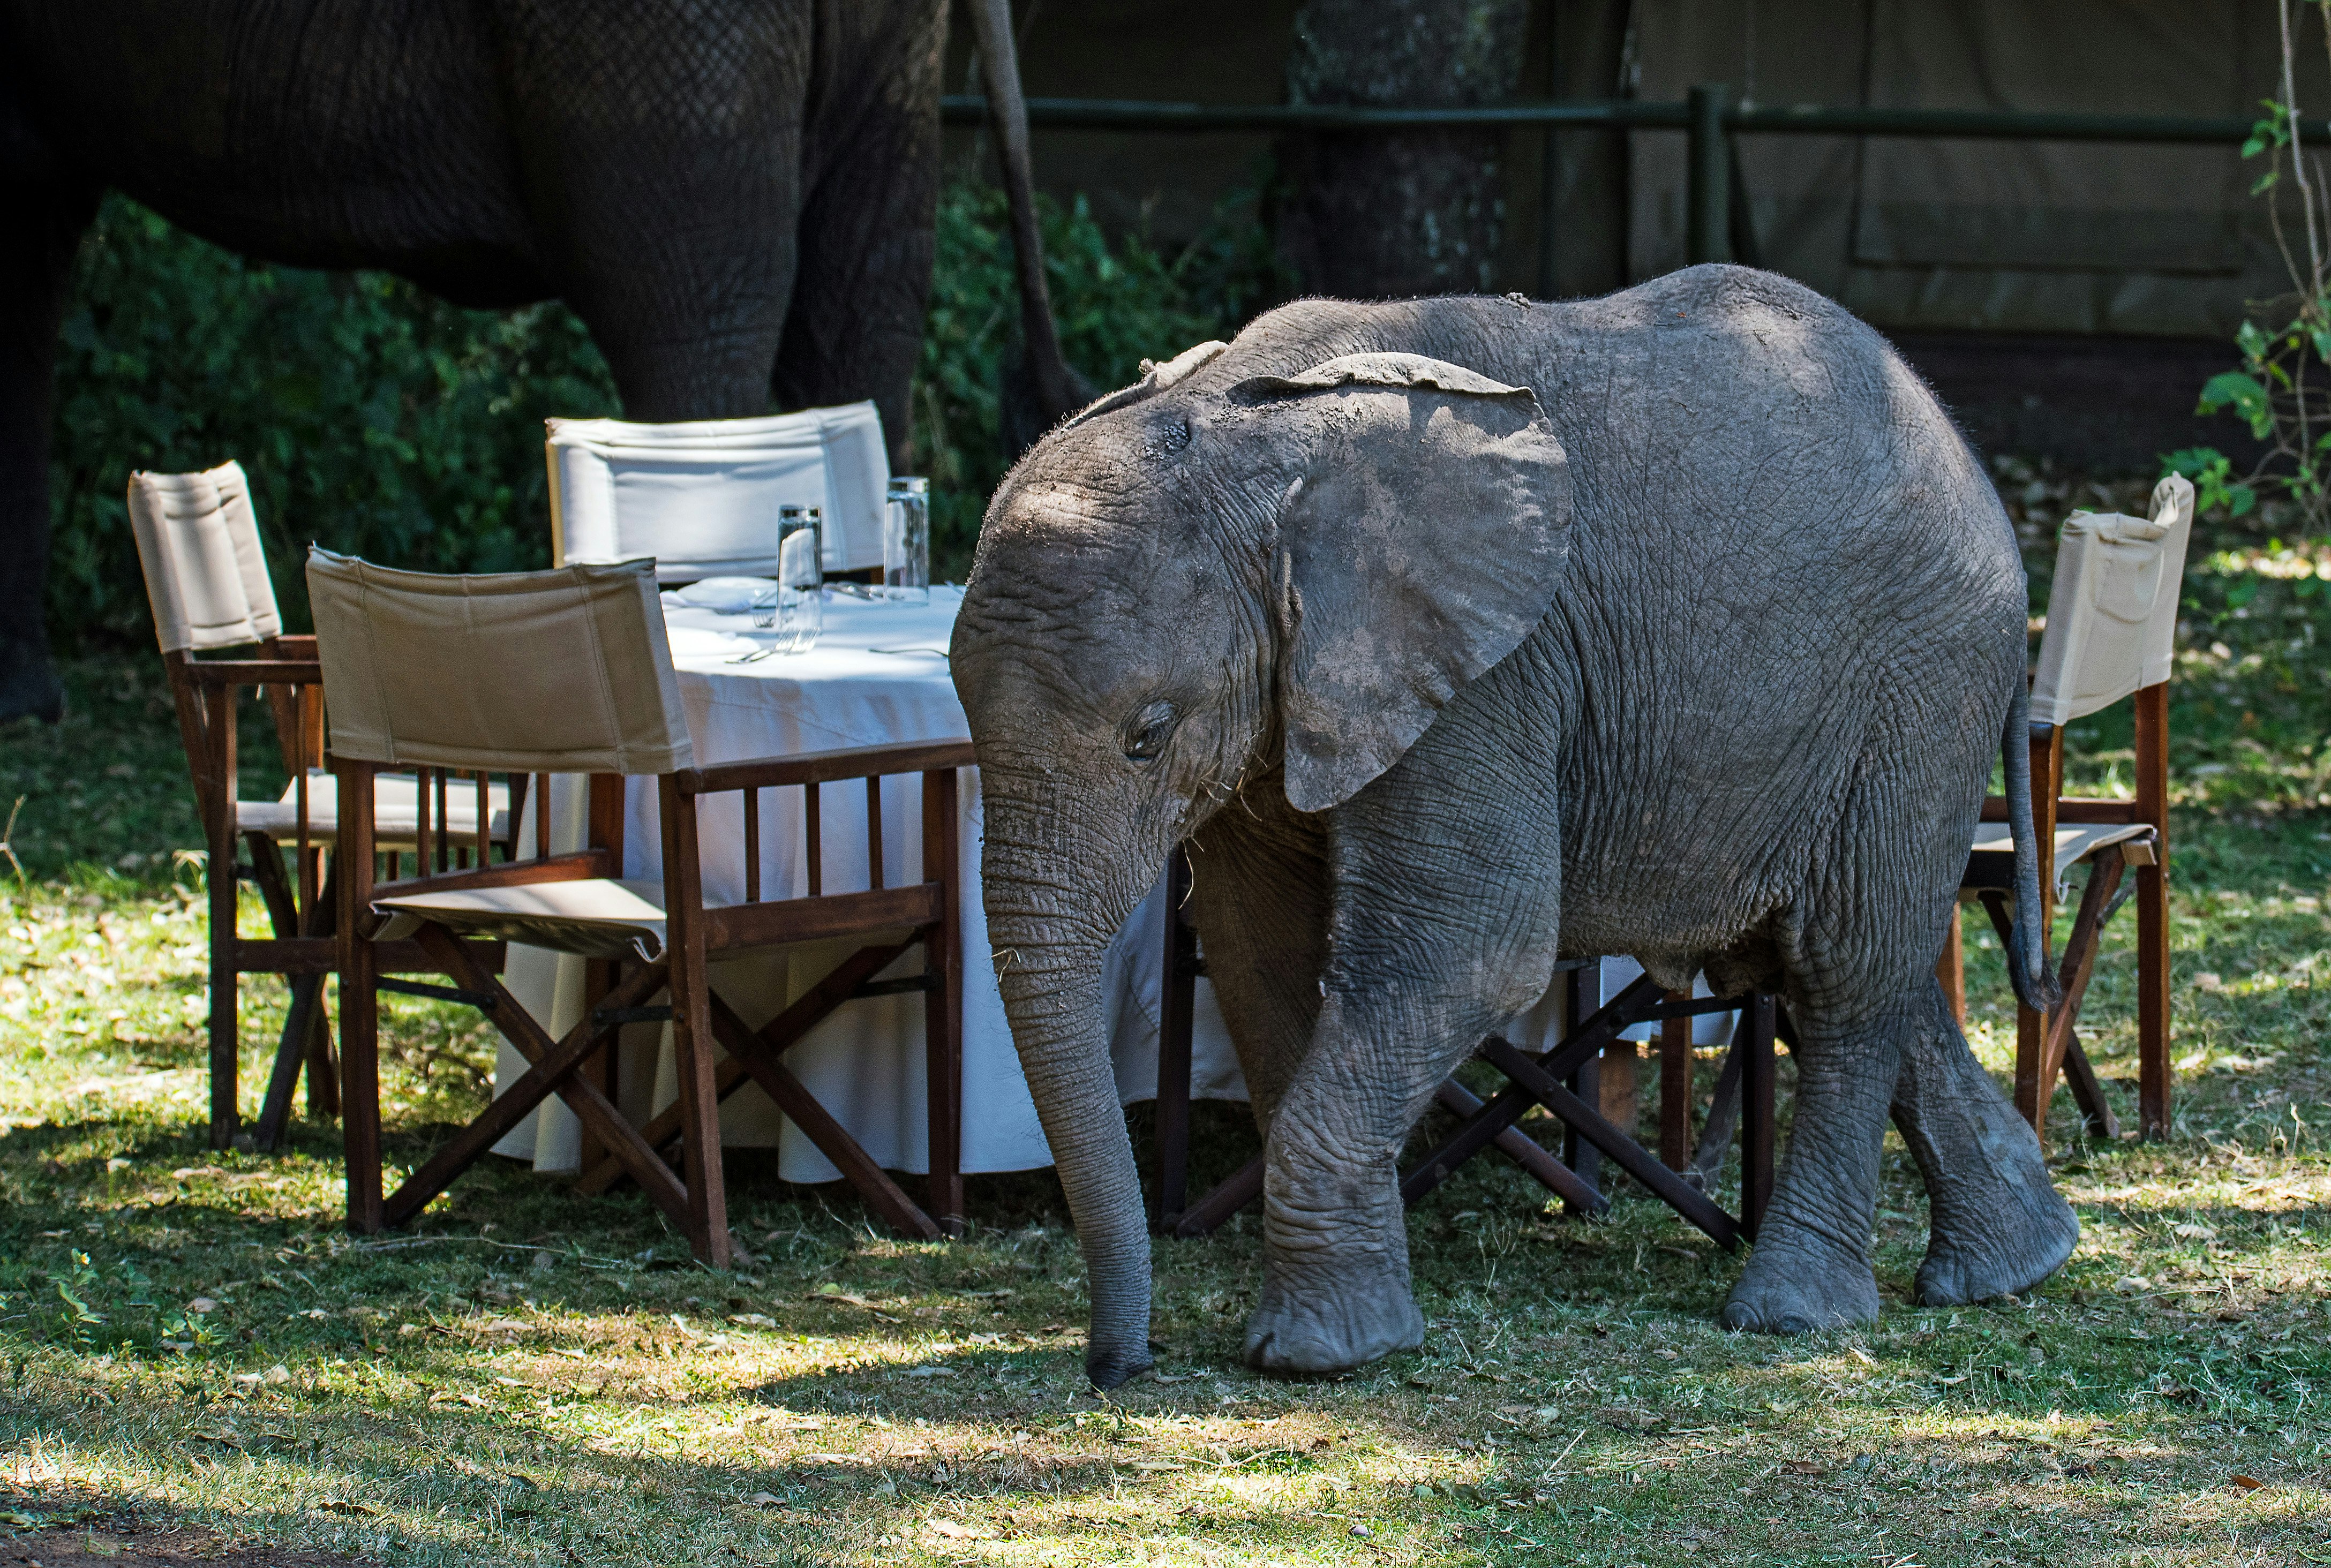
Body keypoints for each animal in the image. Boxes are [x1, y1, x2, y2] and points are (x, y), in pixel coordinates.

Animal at [956, 265, 2088, 1379]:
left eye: (1147, 734)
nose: (1123, 1366)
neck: (1251, 427)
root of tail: (1974, 470)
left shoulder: (1489, 672)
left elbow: (1467, 951)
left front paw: (1316, 1356)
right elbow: (1258, 953)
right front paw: (1359, 1326)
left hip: (1921, 684)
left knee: (1844, 972)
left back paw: (1793, 1314)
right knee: (1836, 967)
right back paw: (2012, 1267)